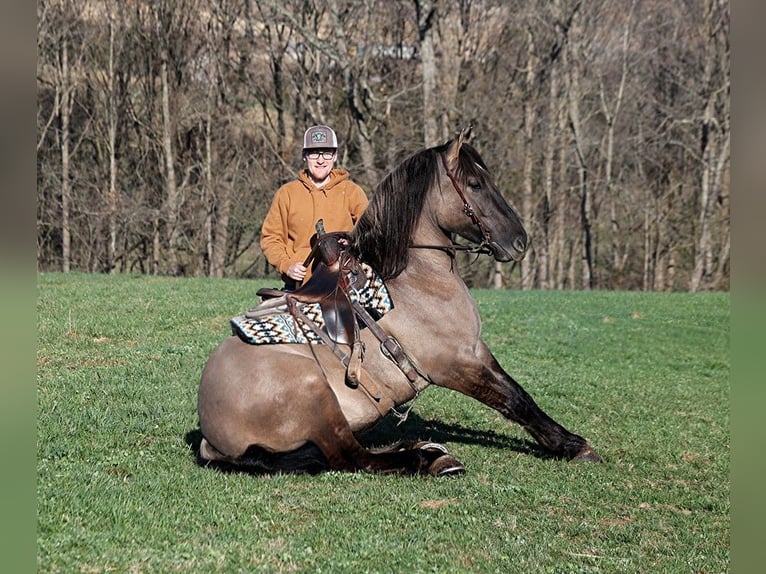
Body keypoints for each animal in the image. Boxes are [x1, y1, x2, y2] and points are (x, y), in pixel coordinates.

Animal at [200, 128, 608, 480]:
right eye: (475, 184)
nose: (519, 240)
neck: (417, 281)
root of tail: (208, 431)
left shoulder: (475, 350)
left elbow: (519, 392)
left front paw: (565, 441)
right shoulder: (454, 365)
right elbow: (513, 401)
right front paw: (574, 446)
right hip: (316, 397)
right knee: (350, 457)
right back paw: (426, 459)